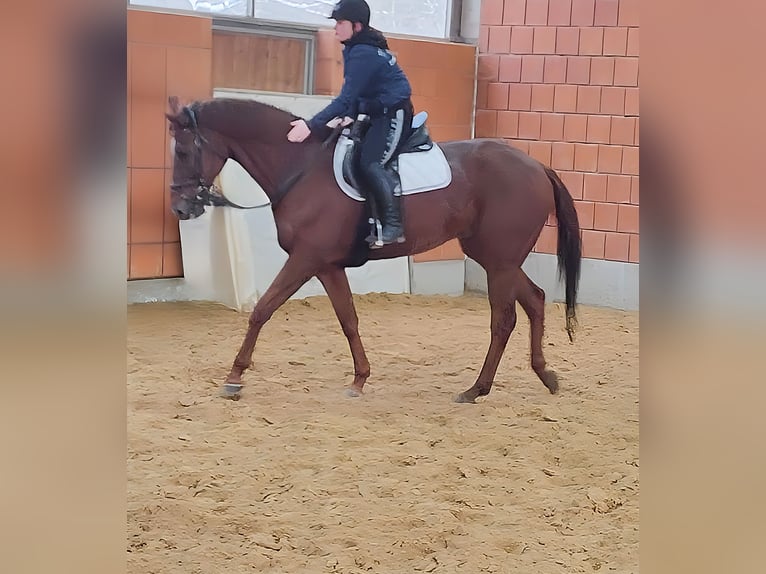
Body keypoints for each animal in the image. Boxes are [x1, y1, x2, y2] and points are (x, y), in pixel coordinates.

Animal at [165, 95, 582, 403]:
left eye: (183, 151)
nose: (182, 209)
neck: (302, 167)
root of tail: (536, 166)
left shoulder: (305, 259)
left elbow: (262, 311)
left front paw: (235, 376)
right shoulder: (327, 266)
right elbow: (348, 320)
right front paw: (360, 379)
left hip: (499, 261)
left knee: (503, 320)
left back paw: (476, 388)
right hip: (497, 258)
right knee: (535, 300)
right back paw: (544, 375)